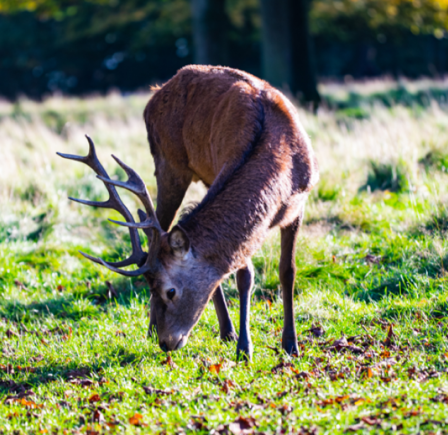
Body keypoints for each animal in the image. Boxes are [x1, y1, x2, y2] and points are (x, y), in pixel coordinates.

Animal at [58, 63, 318, 358]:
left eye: (171, 291)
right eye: (157, 288)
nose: (166, 342)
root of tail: (157, 90)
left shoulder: (299, 203)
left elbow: (287, 271)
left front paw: (290, 344)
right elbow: (244, 274)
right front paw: (245, 348)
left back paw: (224, 331)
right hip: (168, 165)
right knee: (155, 231)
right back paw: (174, 330)